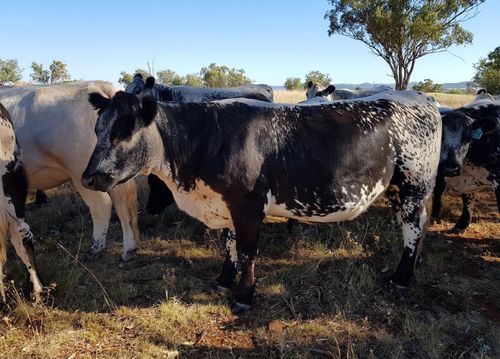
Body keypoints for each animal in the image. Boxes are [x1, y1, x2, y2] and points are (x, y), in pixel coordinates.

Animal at [0, 81, 140, 262]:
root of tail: (96, 84)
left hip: (81, 169)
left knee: (101, 204)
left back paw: (95, 249)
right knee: (123, 202)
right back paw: (129, 248)